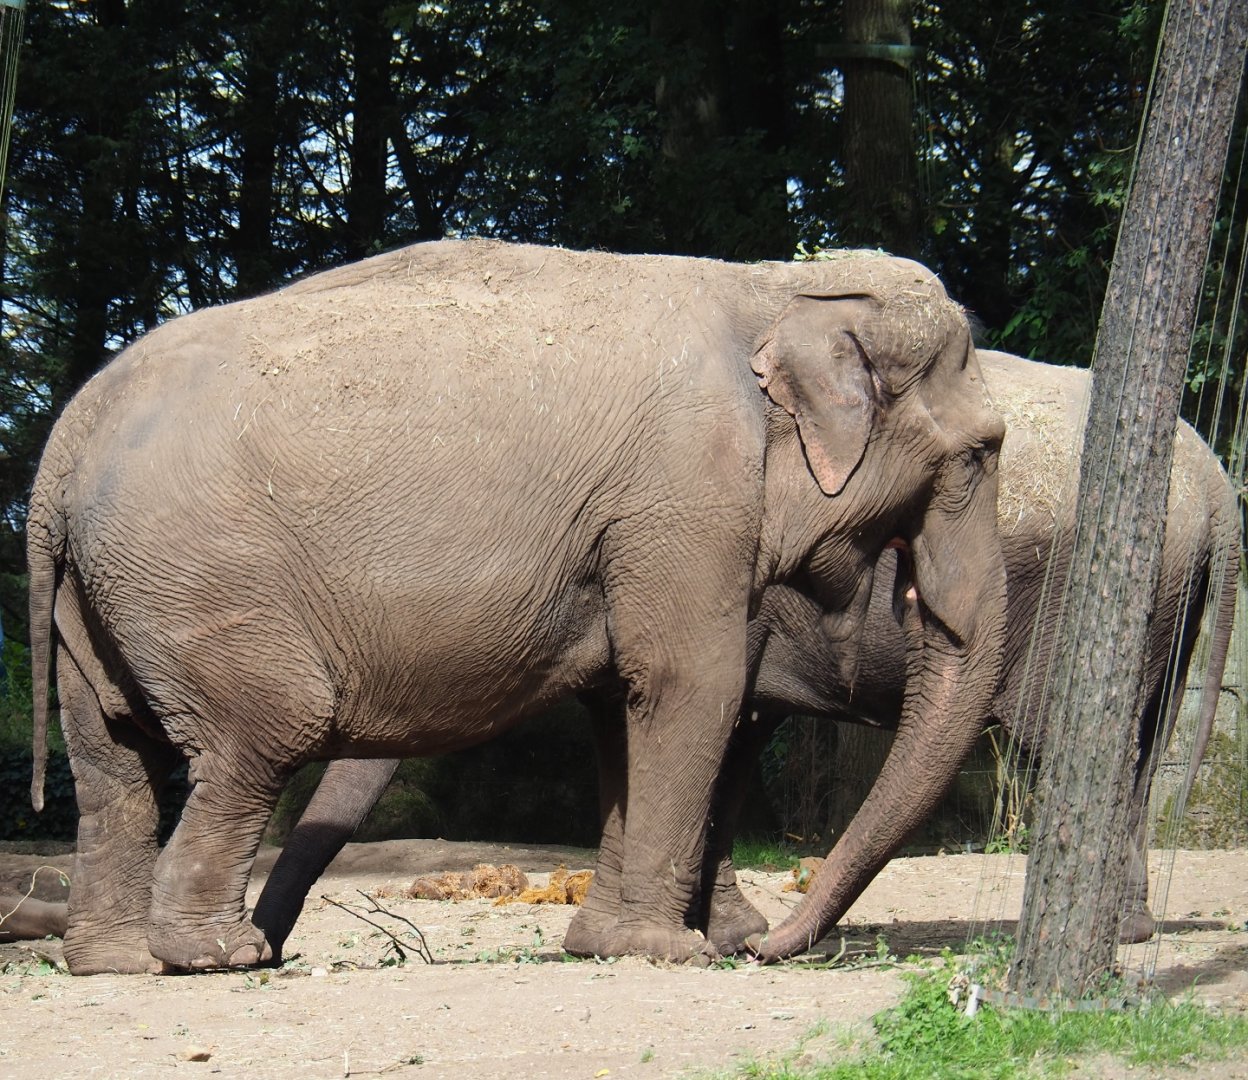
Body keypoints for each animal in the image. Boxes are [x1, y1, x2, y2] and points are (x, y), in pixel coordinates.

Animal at [27, 239, 1006, 975]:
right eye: (984, 451)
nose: (770, 948)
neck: (770, 284)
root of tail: (61, 450)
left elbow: (620, 701)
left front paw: (604, 944)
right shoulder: (688, 488)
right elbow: (693, 681)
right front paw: (667, 951)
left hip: (100, 598)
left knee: (111, 762)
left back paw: (117, 963)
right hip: (199, 579)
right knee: (260, 736)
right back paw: (221, 955)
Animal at [213, 349, 1239, 962]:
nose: (271, 947)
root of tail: (1213, 477)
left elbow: (718, 724)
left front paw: (726, 934)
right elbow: (714, 734)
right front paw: (724, 929)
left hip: (1080, 594)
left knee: (1076, 744)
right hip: (1165, 608)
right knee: (1139, 746)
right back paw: (1131, 929)